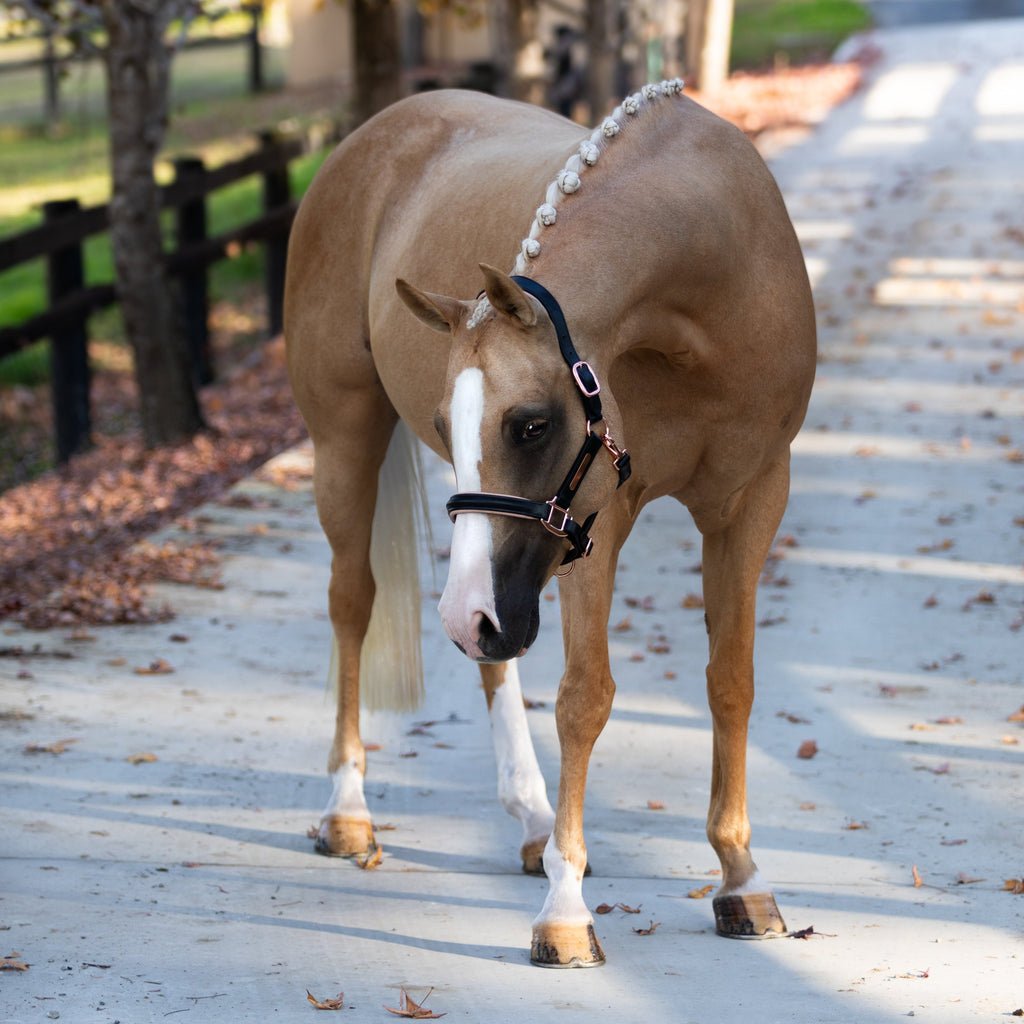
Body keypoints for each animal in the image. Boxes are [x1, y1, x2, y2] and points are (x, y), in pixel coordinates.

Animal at [284, 80, 816, 968]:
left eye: (531, 425)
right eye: (449, 419)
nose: (470, 615)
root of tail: (374, 134)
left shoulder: (751, 502)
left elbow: (730, 681)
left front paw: (741, 878)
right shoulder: (601, 515)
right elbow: (584, 697)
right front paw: (567, 915)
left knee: (488, 655)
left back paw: (533, 821)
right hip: (349, 443)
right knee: (353, 603)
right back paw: (348, 810)